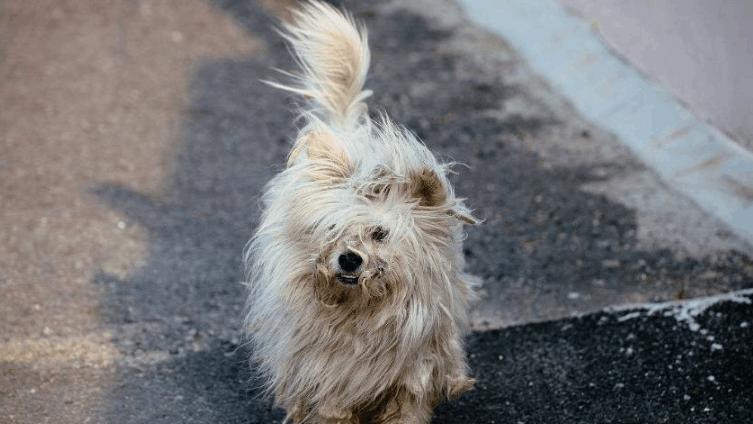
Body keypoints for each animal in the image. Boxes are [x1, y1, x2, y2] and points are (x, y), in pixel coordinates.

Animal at [245, 2, 482, 420]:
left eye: (381, 233)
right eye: (331, 228)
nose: (349, 259)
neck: (362, 312)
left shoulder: (413, 377)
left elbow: (406, 410)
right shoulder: (328, 380)